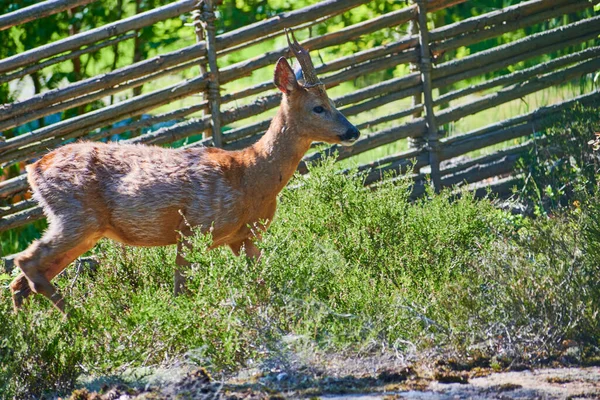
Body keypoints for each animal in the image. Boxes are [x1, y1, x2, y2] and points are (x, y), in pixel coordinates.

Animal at [10, 29, 360, 314]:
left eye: (333, 101)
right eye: (318, 107)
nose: (352, 131)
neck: (251, 176)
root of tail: (33, 169)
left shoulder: (246, 236)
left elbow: (264, 283)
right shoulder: (194, 225)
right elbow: (182, 288)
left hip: (84, 227)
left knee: (21, 282)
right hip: (77, 216)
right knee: (26, 263)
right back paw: (81, 322)